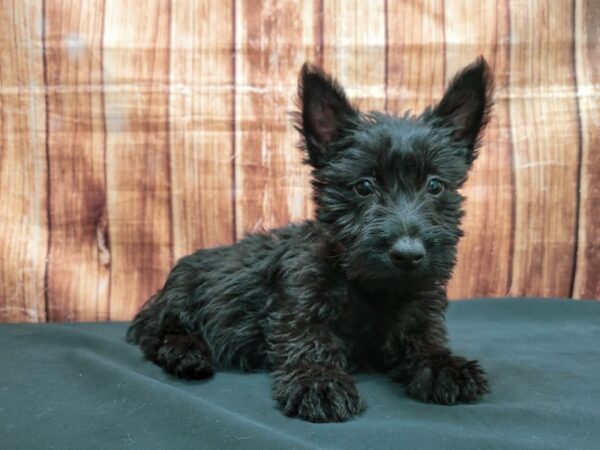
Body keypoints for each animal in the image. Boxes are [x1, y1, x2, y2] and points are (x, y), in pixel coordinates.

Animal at [126, 58, 492, 424]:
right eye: (364, 186)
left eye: (435, 186)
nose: (408, 253)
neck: (370, 287)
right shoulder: (298, 304)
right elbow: (309, 343)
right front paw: (320, 384)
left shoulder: (419, 308)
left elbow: (424, 341)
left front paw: (444, 366)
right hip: (179, 298)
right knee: (156, 332)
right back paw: (187, 354)